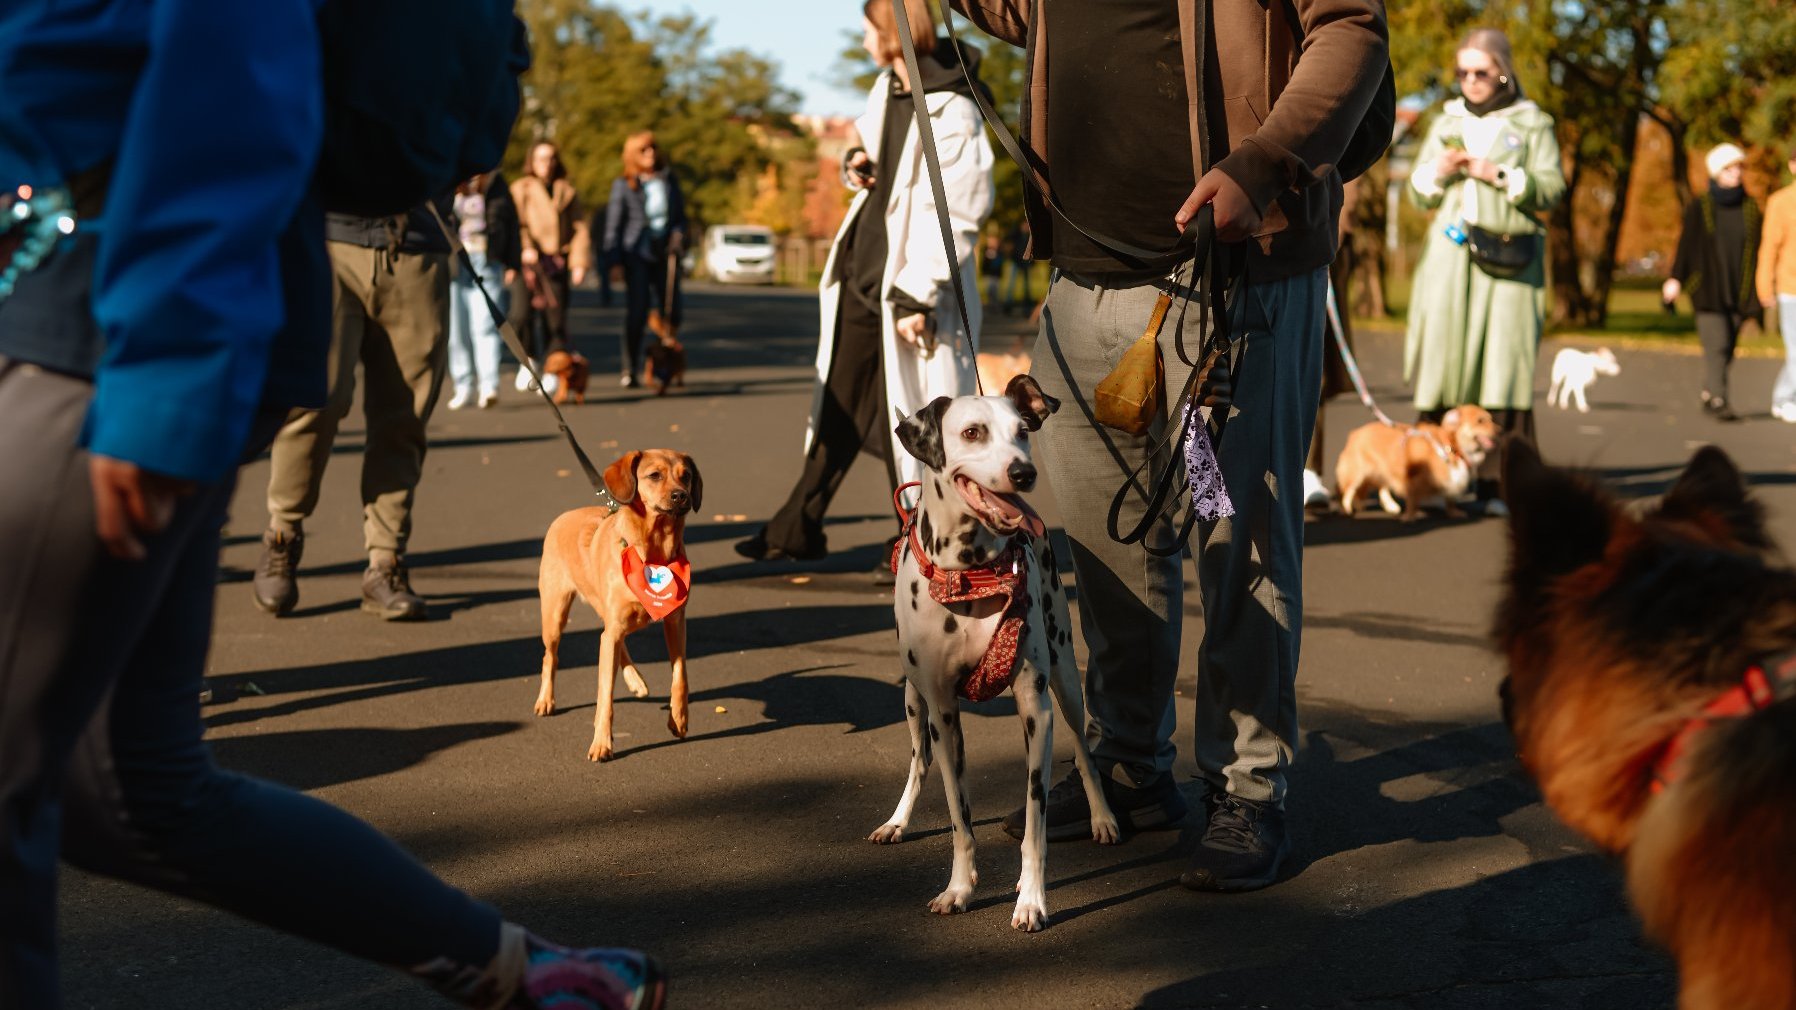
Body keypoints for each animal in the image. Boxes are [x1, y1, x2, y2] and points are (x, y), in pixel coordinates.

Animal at [531, 443, 700, 758]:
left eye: (686, 476)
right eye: (655, 475)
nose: (681, 495)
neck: (653, 552)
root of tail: (563, 516)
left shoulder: (675, 623)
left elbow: (680, 675)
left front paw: (679, 719)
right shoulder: (613, 627)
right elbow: (605, 698)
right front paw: (602, 743)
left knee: (614, 643)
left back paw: (636, 681)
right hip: (555, 613)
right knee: (551, 656)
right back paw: (546, 700)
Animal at [872, 373, 1120, 934]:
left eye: (1023, 432)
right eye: (972, 432)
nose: (1023, 472)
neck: (972, 573)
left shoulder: (1036, 710)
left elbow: (1035, 821)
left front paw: (1030, 898)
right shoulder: (943, 712)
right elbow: (959, 815)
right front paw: (959, 888)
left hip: (1065, 682)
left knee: (1086, 752)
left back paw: (1102, 816)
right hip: (912, 700)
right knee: (918, 760)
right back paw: (897, 820)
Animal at [1336, 402, 1501, 517]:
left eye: (1491, 419)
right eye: (1480, 421)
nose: (1500, 431)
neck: (1451, 447)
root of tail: (1355, 433)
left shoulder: (1451, 481)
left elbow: (1450, 499)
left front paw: (1454, 513)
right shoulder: (1412, 478)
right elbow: (1412, 499)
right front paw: (1410, 517)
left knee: (1382, 488)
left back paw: (1390, 506)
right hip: (1357, 473)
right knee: (1348, 491)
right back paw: (1347, 509)